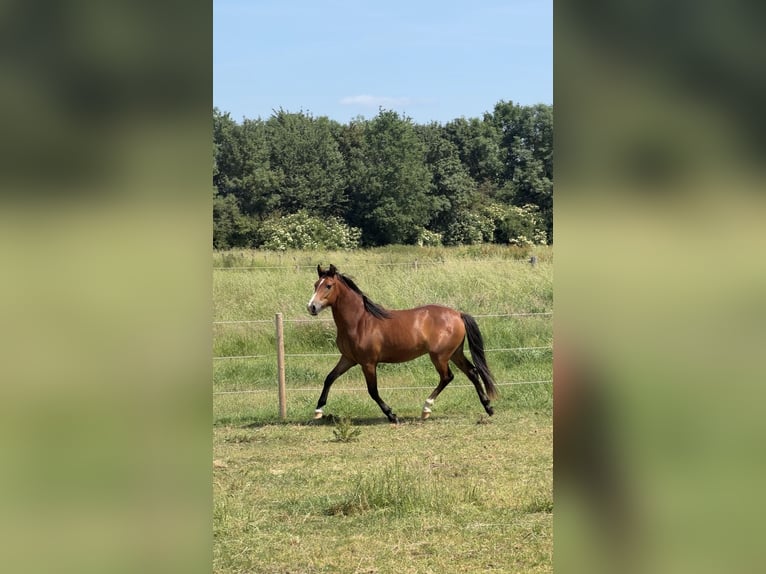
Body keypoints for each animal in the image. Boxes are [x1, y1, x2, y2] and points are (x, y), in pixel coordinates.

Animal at [306, 264, 498, 423]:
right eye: (315, 284)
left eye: (328, 285)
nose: (311, 307)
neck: (359, 321)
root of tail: (458, 314)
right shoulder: (348, 359)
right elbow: (329, 378)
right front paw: (318, 410)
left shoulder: (368, 363)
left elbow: (373, 390)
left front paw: (392, 415)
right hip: (454, 353)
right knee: (472, 372)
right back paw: (488, 407)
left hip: (440, 356)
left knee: (447, 377)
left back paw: (426, 409)